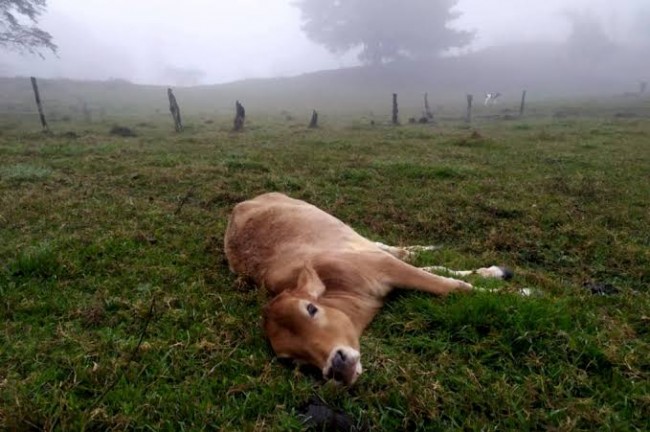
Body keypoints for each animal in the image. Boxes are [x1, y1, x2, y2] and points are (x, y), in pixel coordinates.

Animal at [224, 192, 512, 384]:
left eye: (311, 309)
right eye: (290, 359)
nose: (336, 368)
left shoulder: (384, 266)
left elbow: (454, 287)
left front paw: (515, 292)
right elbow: (442, 277)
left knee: (391, 248)